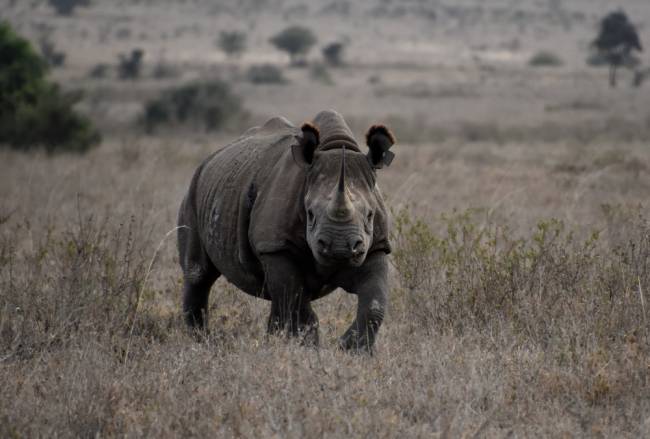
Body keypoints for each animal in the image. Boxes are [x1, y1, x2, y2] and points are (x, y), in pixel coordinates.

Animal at [175, 111, 394, 354]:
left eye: (370, 215)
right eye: (310, 214)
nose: (339, 248)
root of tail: (208, 160)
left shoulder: (376, 247)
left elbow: (375, 303)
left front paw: (352, 350)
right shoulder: (275, 247)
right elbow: (296, 301)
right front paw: (307, 348)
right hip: (194, 192)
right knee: (198, 274)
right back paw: (201, 343)